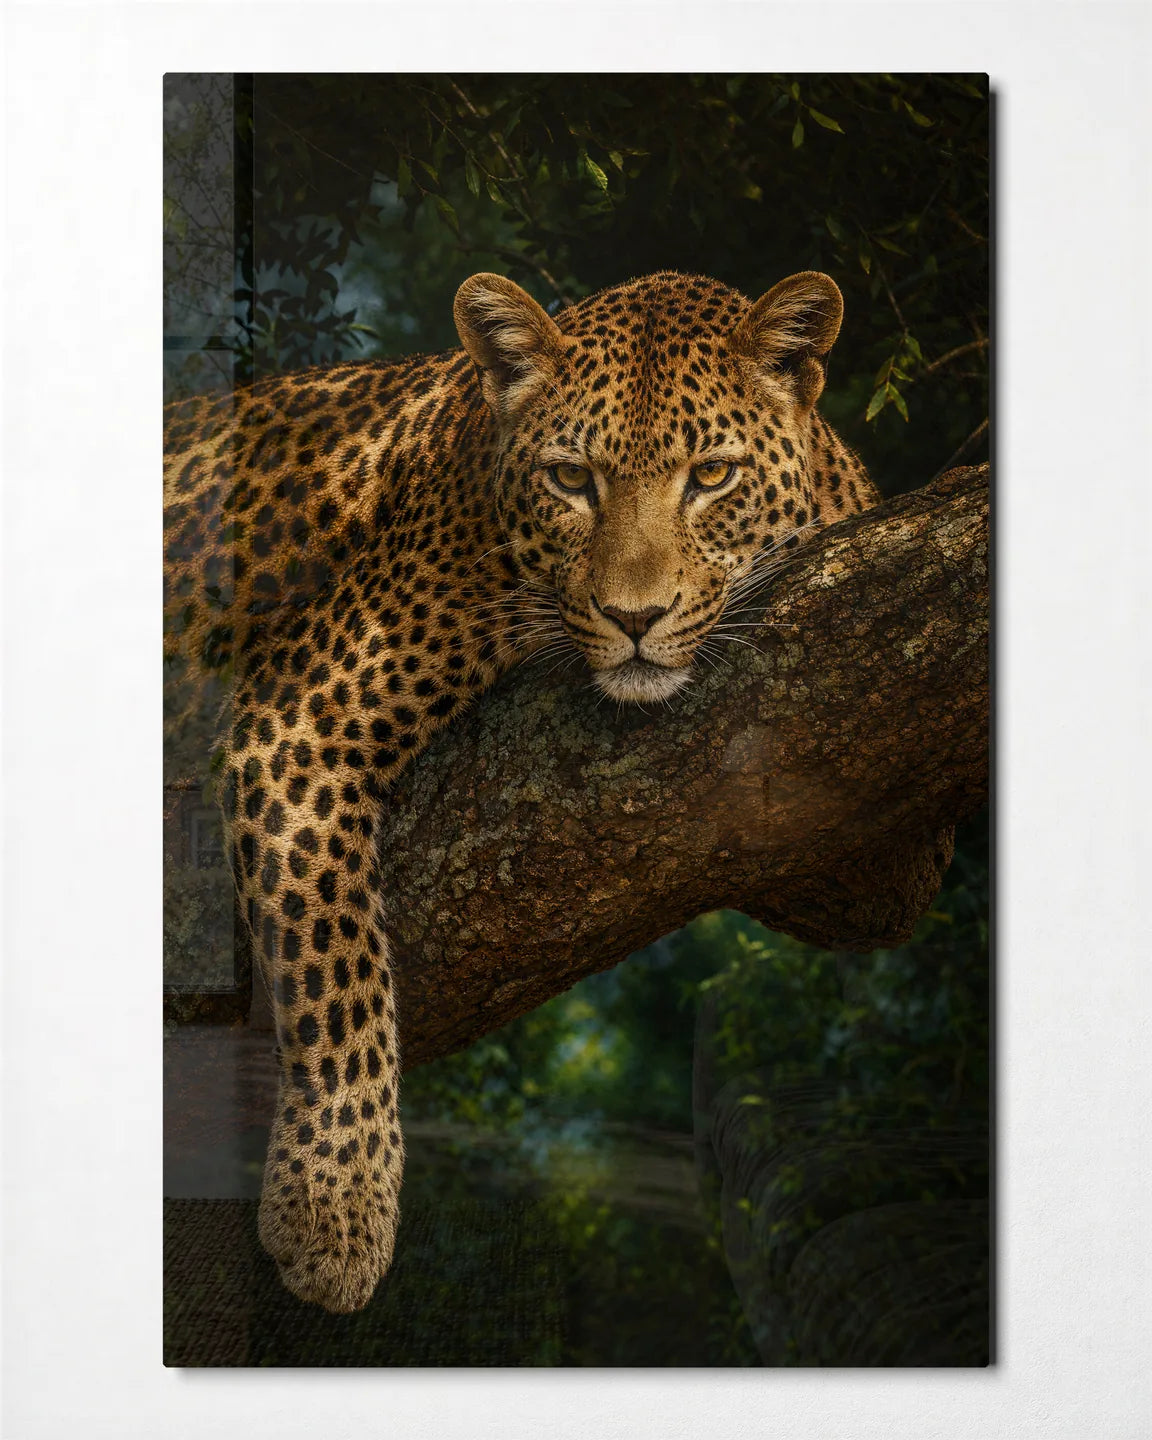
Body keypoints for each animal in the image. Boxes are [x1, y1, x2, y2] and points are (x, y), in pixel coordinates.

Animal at [163, 268, 879, 1313]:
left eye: (711, 476)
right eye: (571, 479)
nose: (635, 617)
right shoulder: (296, 717)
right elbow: (336, 968)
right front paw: (335, 1208)